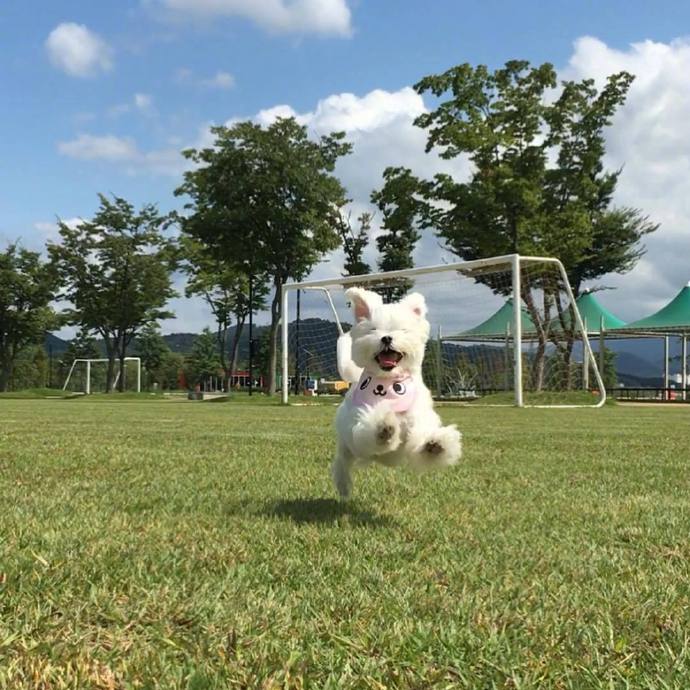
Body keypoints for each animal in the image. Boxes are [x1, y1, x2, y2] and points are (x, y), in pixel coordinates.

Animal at [330, 282, 460, 498]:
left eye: (403, 330)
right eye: (373, 329)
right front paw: (384, 428)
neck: (389, 383)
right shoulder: (359, 424)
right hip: (347, 445)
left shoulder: (418, 418)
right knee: (342, 462)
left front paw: (434, 445)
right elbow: (370, 431)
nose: (386, 338)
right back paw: (343, 485)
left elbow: (420, 441)